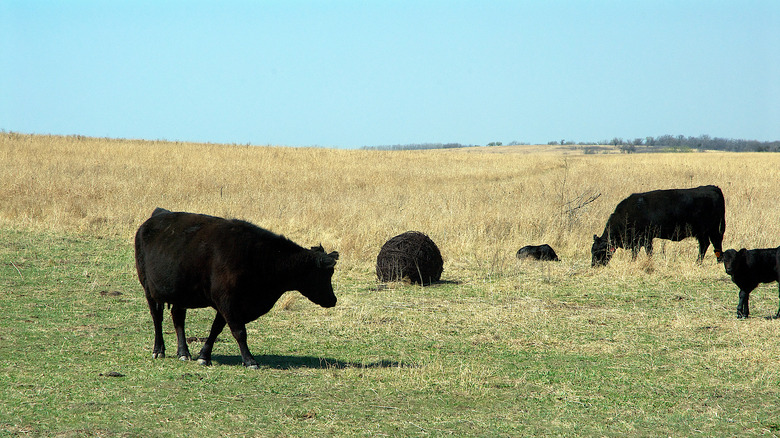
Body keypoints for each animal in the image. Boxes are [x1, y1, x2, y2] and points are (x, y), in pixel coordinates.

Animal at [133, 209, 338, 370]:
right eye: (323, 274)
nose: (333, 300)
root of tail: (156, 216)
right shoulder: (227, 301)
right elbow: (239, 331)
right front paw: (250, 360)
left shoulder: (230, 304)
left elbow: (216, 329)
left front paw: (204, 356)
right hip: (148, 289)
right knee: (157, 318)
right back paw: (158, 350)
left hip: (181, 293)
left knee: (178, 318)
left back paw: (183, 352)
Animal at [592, 185, 724, 266]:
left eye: (598, 251)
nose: (594, 265)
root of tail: (712, 188)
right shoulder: (641, 239)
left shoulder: (644, 238)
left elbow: (644, 251)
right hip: (708, 231)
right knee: (711, 244)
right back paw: (717, 261)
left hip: (707, 230)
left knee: (709, 244)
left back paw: (701, 262)